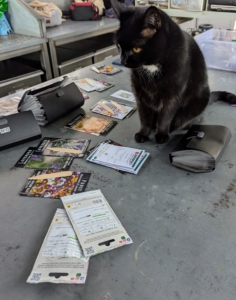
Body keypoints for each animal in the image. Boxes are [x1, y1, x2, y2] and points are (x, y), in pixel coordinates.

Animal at [110, 1, 236, 144]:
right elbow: (144, 115)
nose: (123, 61)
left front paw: (161, 134)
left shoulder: (173, 93)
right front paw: (143, 133)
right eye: (119, 46)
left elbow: (166, 115)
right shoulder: (140, 92)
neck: (152, 66)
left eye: (136, 49)